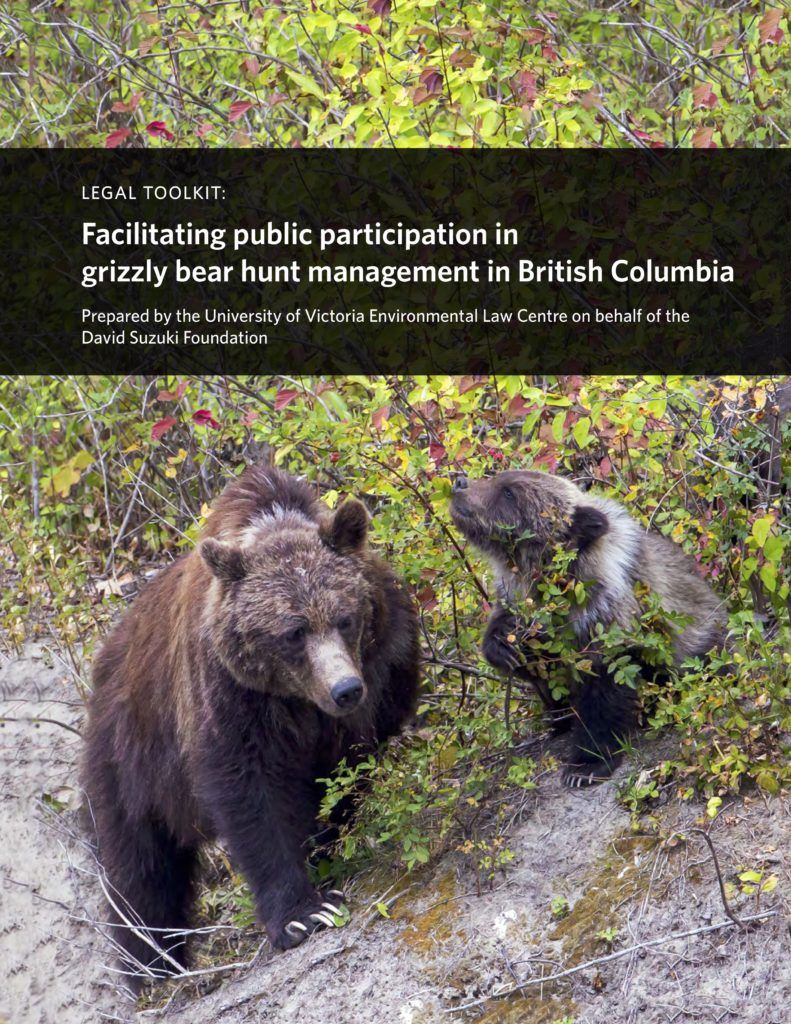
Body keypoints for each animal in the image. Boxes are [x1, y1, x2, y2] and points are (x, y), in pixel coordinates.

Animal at [82, 465, 420, 982]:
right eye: (293, 631)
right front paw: (302, 914)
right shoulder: (230, 693)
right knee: (140, 869)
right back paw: (152, 966)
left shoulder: (385, 666)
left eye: (345, 617)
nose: (345, 689)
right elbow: (249, 792)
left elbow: (345, 774)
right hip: (128, 758)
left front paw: (324, 850)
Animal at [450, 469, 725, 786]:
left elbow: (604, 693)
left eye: (509, 492)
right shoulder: (517, 599)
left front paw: (586, 765)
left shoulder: (605, 620)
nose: (459, 483)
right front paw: (506, 646)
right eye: (498, 478)